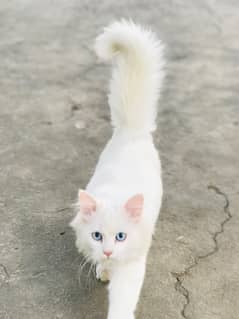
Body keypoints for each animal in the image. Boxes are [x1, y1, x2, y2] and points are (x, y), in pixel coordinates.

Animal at [70, 20, 165, 319]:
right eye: (97, 236)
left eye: (121, 236)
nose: (109, 252)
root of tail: (131, 131)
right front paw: (103, 268)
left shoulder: (131, 265)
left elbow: (123, 300)